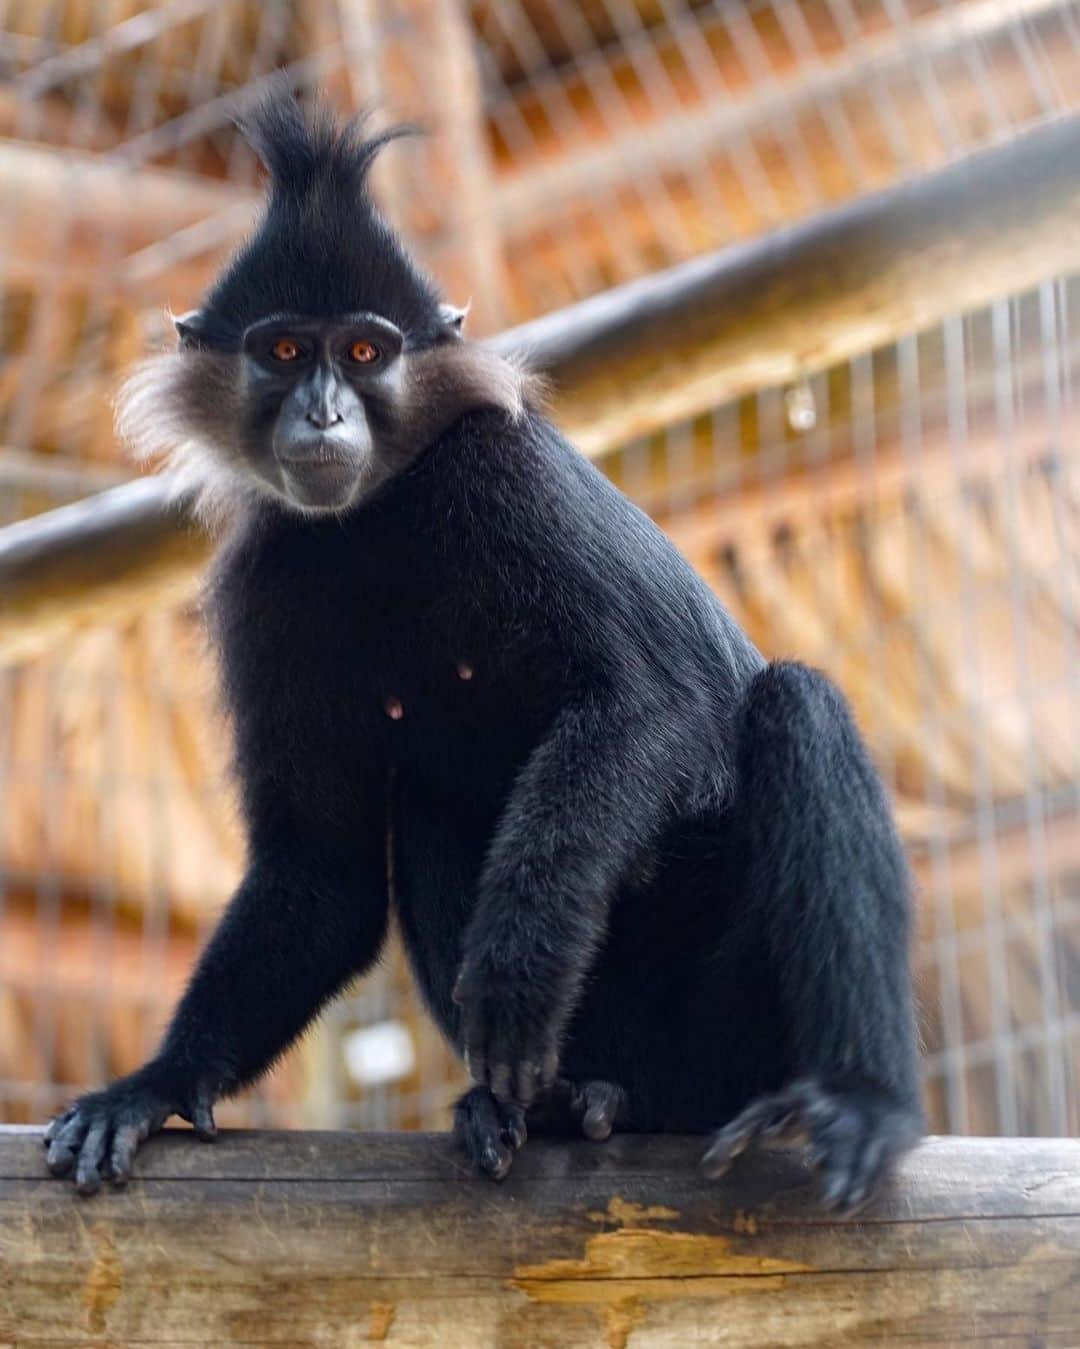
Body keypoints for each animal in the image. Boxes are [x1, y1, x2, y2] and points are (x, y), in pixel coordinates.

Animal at [42, 99, 916, 1208]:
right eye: (283, 349)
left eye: (364, 353)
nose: (324, 409)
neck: (381, 517)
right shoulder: (266, 577)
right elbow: (320, 868)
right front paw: (156, 1081)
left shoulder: (505, 470)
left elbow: (654, 701)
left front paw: (518, 965)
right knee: (426, 800)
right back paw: (565, 1103)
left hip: (730, 1022)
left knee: (797, 702)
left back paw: (859, 1099)